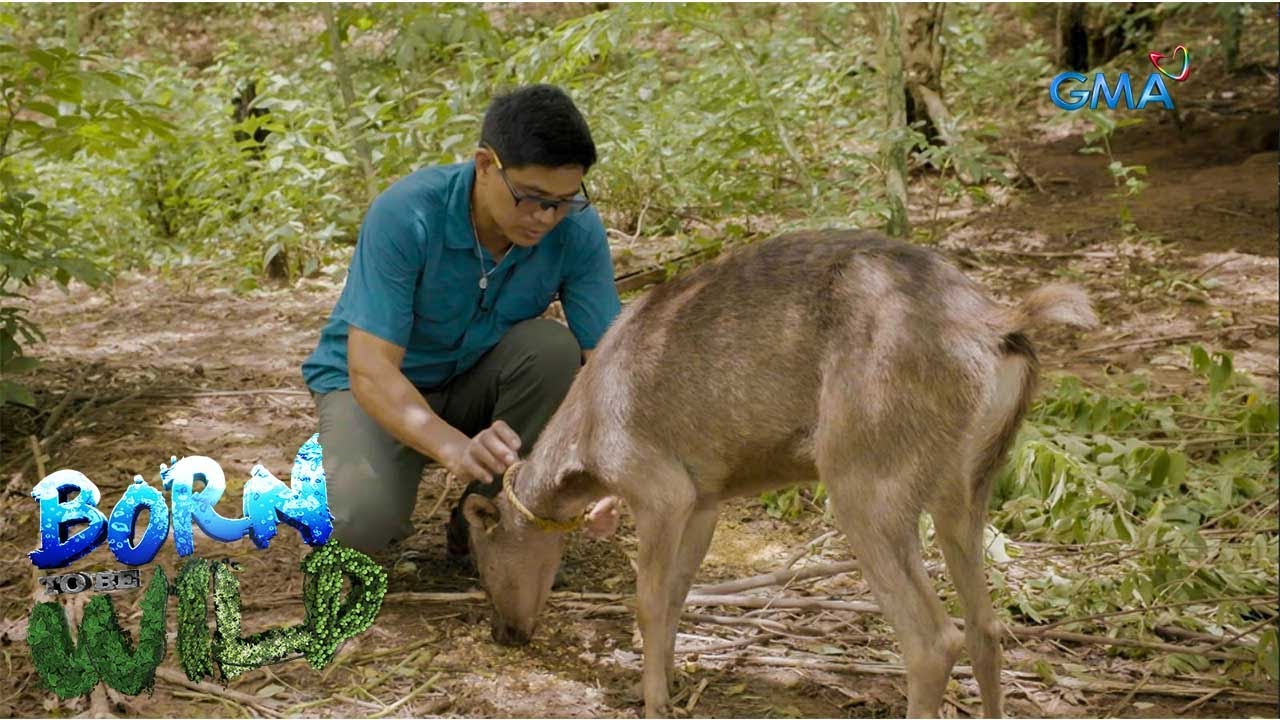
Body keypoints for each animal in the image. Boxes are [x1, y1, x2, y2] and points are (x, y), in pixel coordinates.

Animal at [459, 229, 1097, 718]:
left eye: (483, 554)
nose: (504, 633)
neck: (585, 447)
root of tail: (998, 323)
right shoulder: (705, 497)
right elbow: (677, 595)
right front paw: (673, 678)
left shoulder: (660, 487)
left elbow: (648, 601)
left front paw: (655, 700)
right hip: (966, 484)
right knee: (986, 628)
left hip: (865, 478)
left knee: (933, 639)